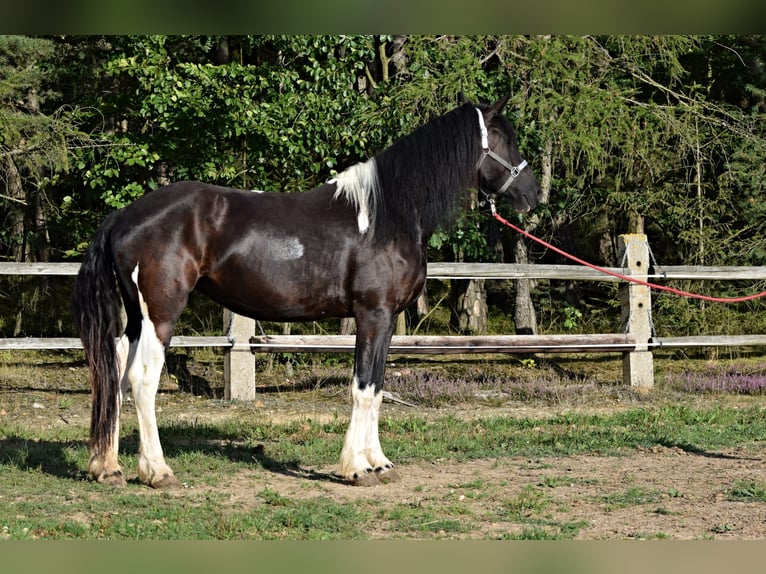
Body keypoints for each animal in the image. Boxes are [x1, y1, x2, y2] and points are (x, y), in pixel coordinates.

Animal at [70, 94, 540, 490]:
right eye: (506, 138)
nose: (533, 195)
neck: (386, 215)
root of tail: (123, 216)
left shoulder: (387, 320)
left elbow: (378, 387)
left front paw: (379, 462)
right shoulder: (373, 315)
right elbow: (363, 386)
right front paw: (357, 468)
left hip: (136, 318)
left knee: (115, 371)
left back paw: (108, 467)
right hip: (160, 315)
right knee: (142, 379)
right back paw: (157, 471)